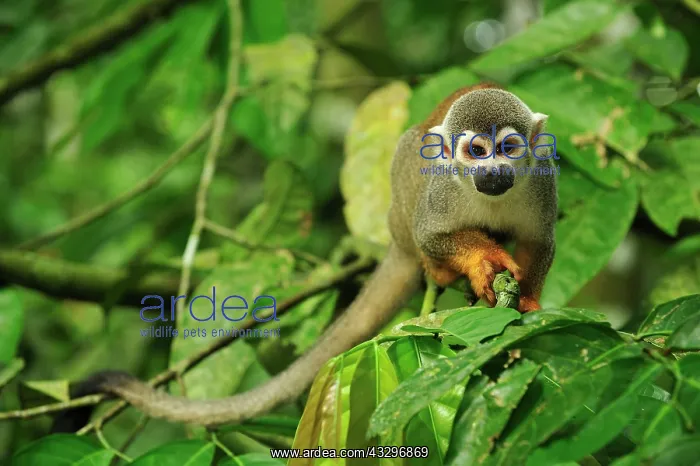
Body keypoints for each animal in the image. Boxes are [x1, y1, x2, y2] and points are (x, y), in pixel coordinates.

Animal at [53, 83, 556, 429]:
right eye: (476, 150)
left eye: (508, 148)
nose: (493, 172)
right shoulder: (441, 194)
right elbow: (432, 234)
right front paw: (480, 261)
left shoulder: (541, 179)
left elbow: (541, 241)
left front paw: (529, 300)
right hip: (403, 210)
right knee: (411, 156)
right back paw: (439, 266)